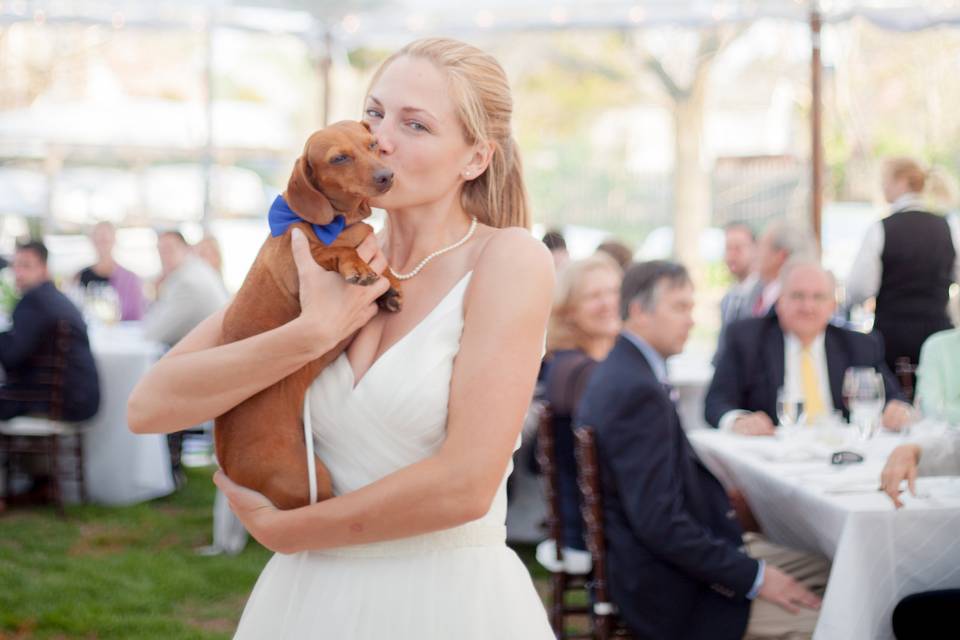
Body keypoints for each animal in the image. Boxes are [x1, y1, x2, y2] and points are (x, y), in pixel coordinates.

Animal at [215, 120, 402, 510]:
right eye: (339, 158)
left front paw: (389, 285)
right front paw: (357, 266)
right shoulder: (303, 255)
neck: (341, 222)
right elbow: (337, 251)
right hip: (309, 479)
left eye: (372, 144)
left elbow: (381, 265)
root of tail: (226, 462)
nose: (387, 176)